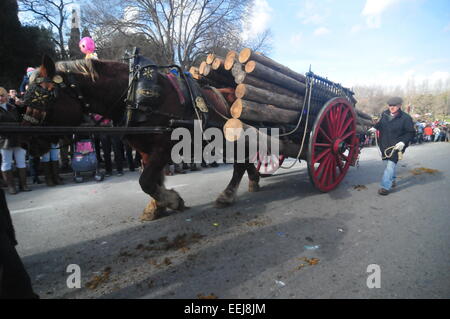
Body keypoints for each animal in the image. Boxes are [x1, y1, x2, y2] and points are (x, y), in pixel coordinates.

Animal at [22, 56, 260, 221]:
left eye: (44, 96)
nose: (27, 141)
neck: (133, 96)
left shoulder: (164, 147)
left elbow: (145, 181)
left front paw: (172, 201)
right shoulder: (145, 150)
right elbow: (152, 180)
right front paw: (157, 206)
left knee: (241, 163)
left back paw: (227, 194)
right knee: (246, 159)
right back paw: (254, 179)